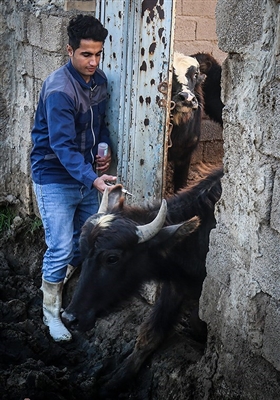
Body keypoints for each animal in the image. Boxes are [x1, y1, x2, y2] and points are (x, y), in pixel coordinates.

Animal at [61, 166, 223, 396]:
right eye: (83, 251)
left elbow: (196, 321)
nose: (69, 318)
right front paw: (114, 380)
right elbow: (149, 335)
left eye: (112, 258)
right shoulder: (175, 286)